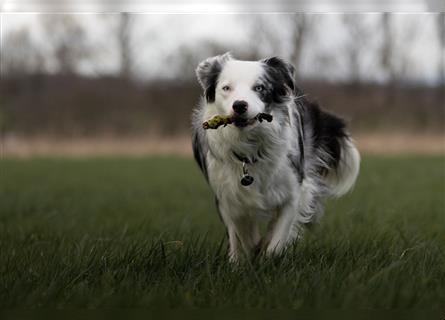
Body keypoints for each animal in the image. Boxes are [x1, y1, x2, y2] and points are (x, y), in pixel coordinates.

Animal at [190, 53, 358, 262]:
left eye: (259, 87)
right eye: (226, 88)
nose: (239, 105)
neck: (250, 147)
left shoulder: (292, 190)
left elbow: (278, 237)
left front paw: (267, 257)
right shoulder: (227, 195)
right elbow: (240, 231)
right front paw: (244, 256)